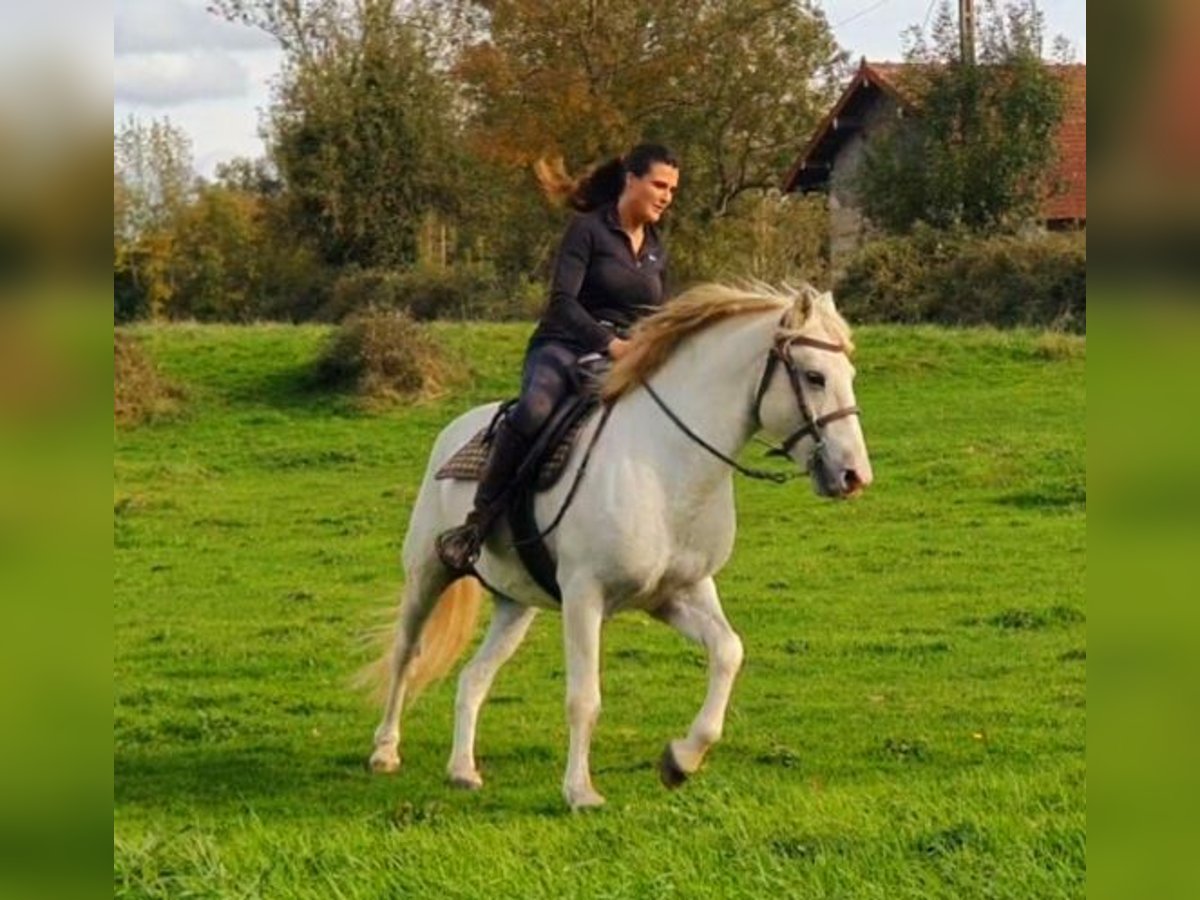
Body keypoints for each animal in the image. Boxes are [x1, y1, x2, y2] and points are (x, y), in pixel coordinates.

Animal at [364, 282, 873, 811]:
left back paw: (463, 770)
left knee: (473, 677)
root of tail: (455, 429)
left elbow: (728, 650)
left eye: (850, 374)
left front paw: (680, 760)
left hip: (515, 605)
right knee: (406, 653)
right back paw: (385, 751)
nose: (855, 476)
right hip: (428, 573)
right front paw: (580, 791)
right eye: (815, 376)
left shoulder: (680, 592)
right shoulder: (584, 596)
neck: (667, 465)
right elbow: (584, 698)